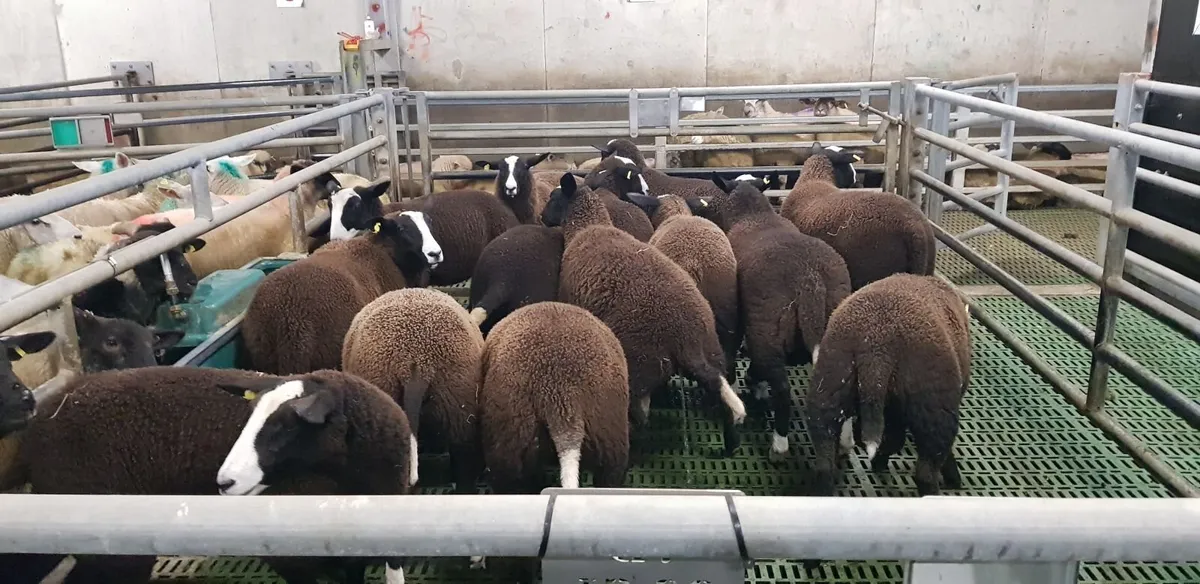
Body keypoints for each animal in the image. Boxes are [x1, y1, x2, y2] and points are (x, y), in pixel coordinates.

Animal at [242, 209, 441, 375]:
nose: (435, 253)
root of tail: (288, 320)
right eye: (401, 228)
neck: (386, 253)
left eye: (430, 223)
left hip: (266, 357)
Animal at [708, 175, 851, 461]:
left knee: (782, 386)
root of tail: (810, 278)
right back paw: (845, 442)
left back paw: (779, 443)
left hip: (767, 327)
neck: (754, 215)